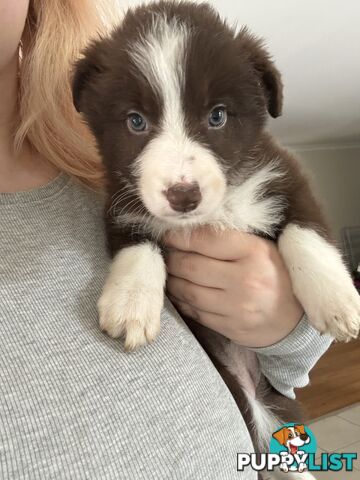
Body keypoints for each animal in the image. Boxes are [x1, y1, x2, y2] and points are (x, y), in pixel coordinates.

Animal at [72, 0, 360, 476]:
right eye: (136, 121)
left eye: (218, 116)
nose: (183, 195)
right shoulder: (120, 202)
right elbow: (138, 247)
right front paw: (131, 303)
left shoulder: (285, 174)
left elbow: (304, 230)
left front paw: (336, 299)